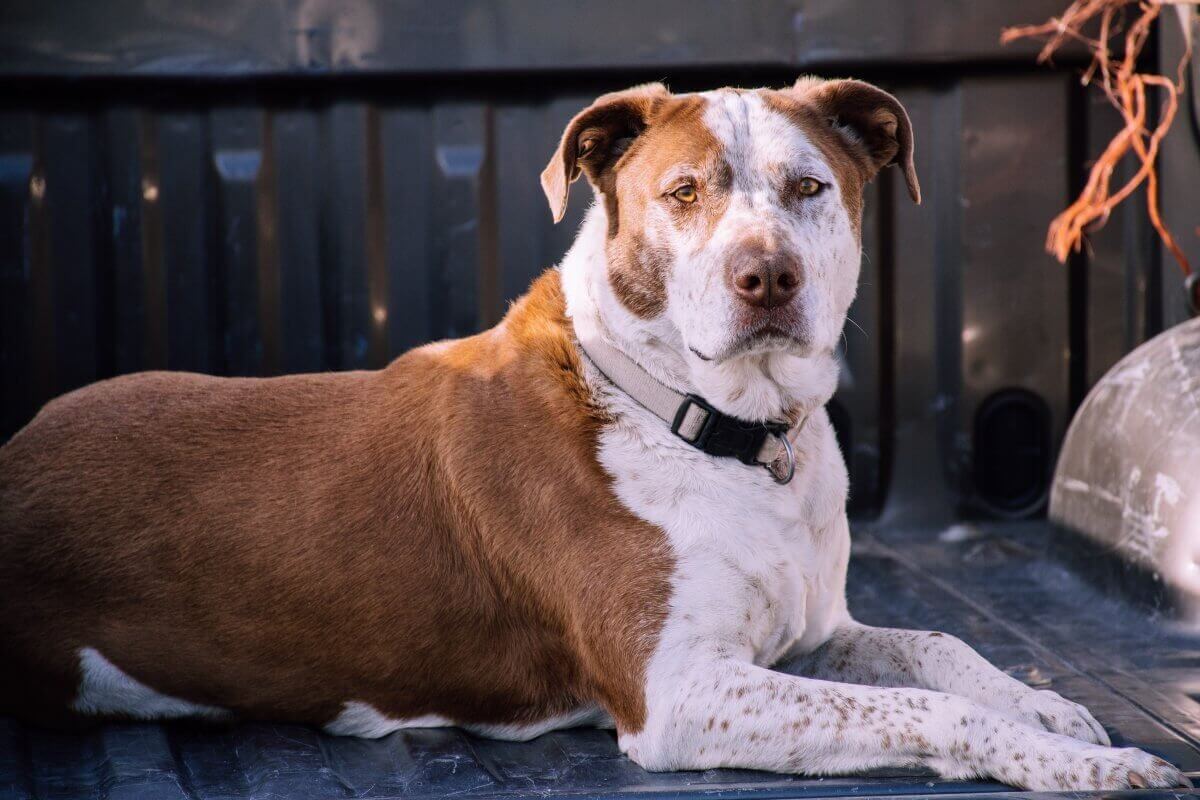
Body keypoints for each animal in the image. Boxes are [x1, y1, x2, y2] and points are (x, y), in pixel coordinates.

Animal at [0, 77, 1185, 791]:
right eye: (683, 192)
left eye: (809, 186)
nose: (766, 276)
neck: (718, 427)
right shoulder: (684, 693)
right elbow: (922, 710)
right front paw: (1072, 762)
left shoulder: (809, 630)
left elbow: (942, 649)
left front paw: (1048, 706)